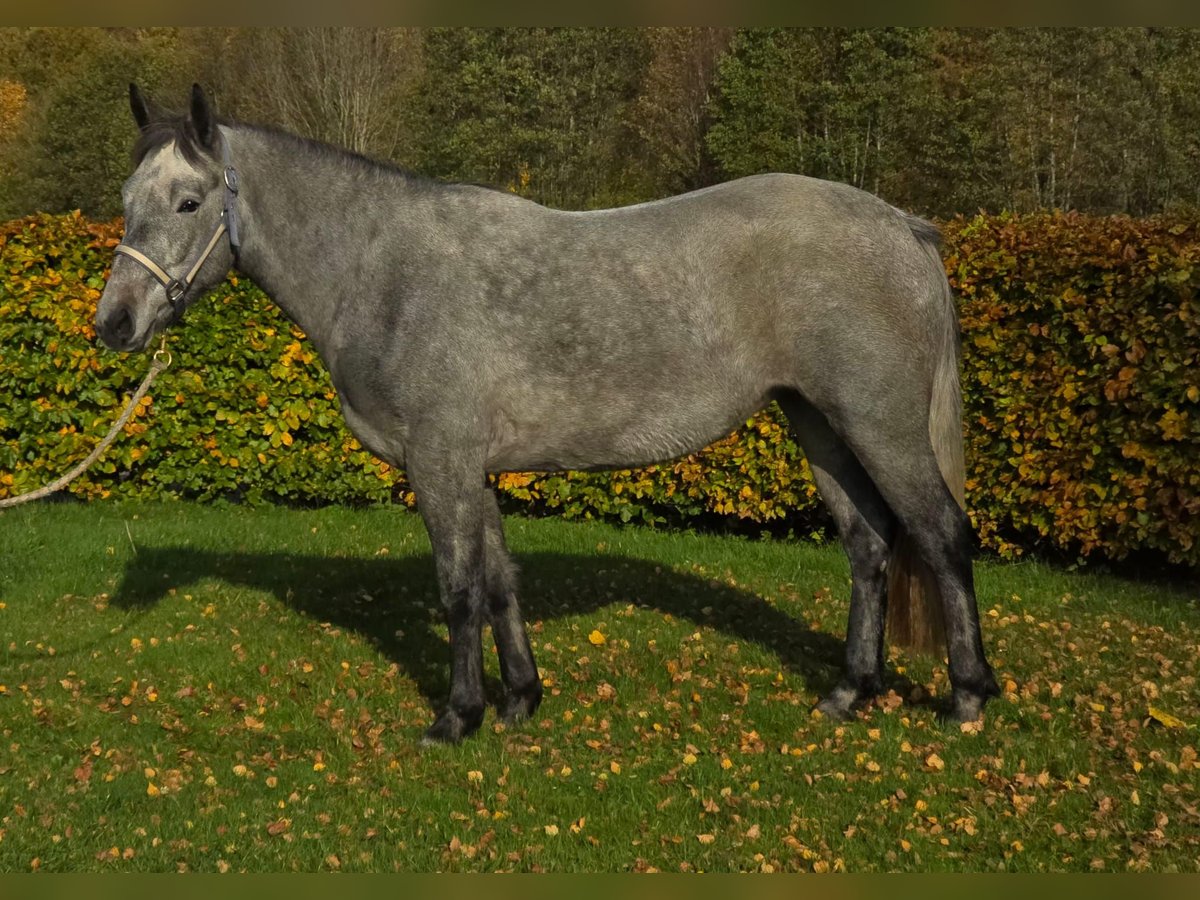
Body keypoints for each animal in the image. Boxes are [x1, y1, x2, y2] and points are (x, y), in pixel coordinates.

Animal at [95, 84, 998, 744]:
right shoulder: (474, 469)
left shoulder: (441, 464)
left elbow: (458, 588)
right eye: (127, 195)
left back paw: (967, 696)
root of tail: (903, 226)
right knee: (869, 545)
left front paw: (456, 717)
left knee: (940, 534)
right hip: (820, 424)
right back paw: (849, 691)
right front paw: (521, 700)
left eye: (188, 202)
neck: (383, 271)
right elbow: (500, 581)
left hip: (879, 425)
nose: (115, 324)